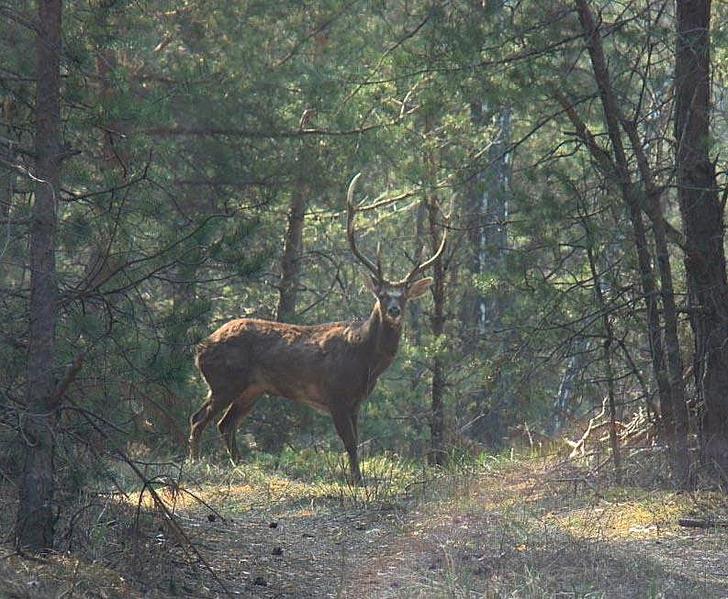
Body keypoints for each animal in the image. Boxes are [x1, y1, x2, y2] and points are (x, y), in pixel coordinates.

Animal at [188, 172, 446, 482]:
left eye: (404, 297)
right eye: (382, 295)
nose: (394, 310)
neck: (365, 360)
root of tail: (200, 348)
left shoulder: (356, 401)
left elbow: (356, 441)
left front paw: (358, 479)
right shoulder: (334, 393)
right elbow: (350, 442)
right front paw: (356, 482)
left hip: (252, 387)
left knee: (225, 424)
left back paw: (239, 464)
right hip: (224, 379)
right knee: (198, 418)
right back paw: (193, 462)